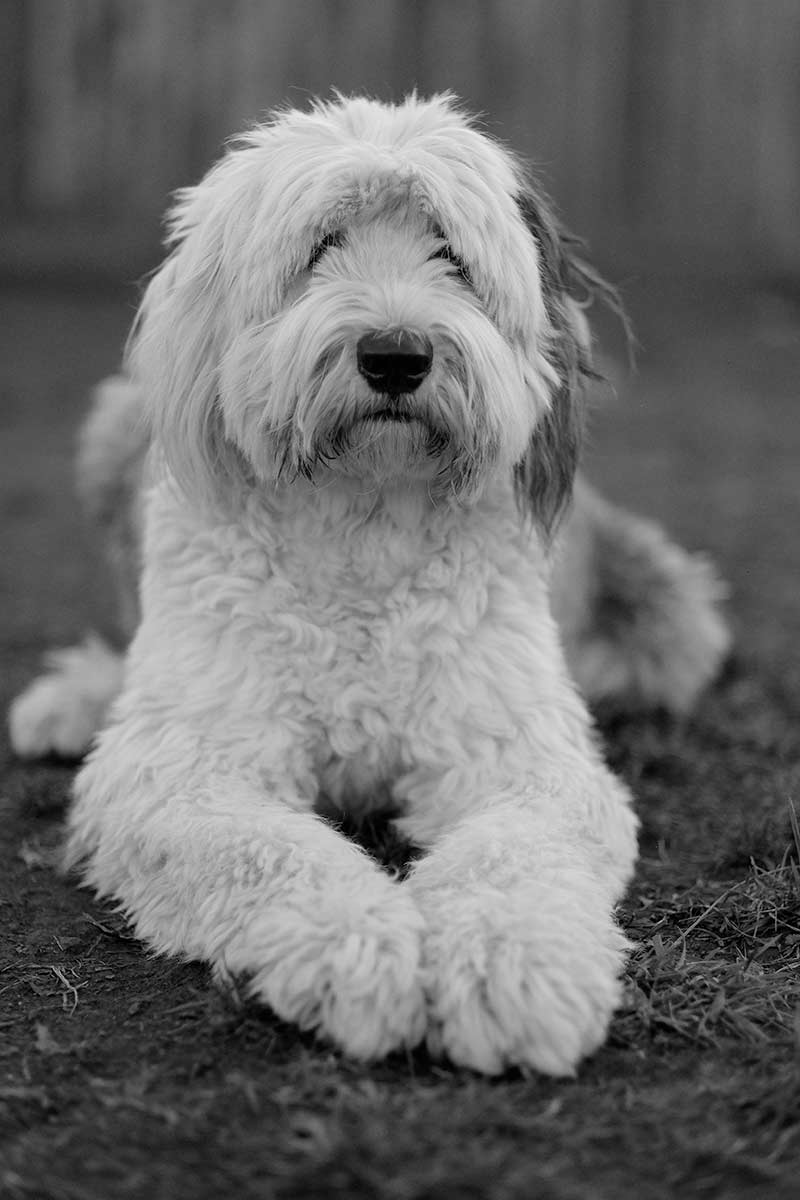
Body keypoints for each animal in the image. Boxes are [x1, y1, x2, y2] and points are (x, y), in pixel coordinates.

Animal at [7, 91, 734, 1070]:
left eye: (451, 254)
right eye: (321, 247)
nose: (396, 355)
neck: (366, 519)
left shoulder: (517, 754)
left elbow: (516, 855)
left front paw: (513, 967)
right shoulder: (186, 761)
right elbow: (268, 850)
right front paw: (356, 949)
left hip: (668, 612)